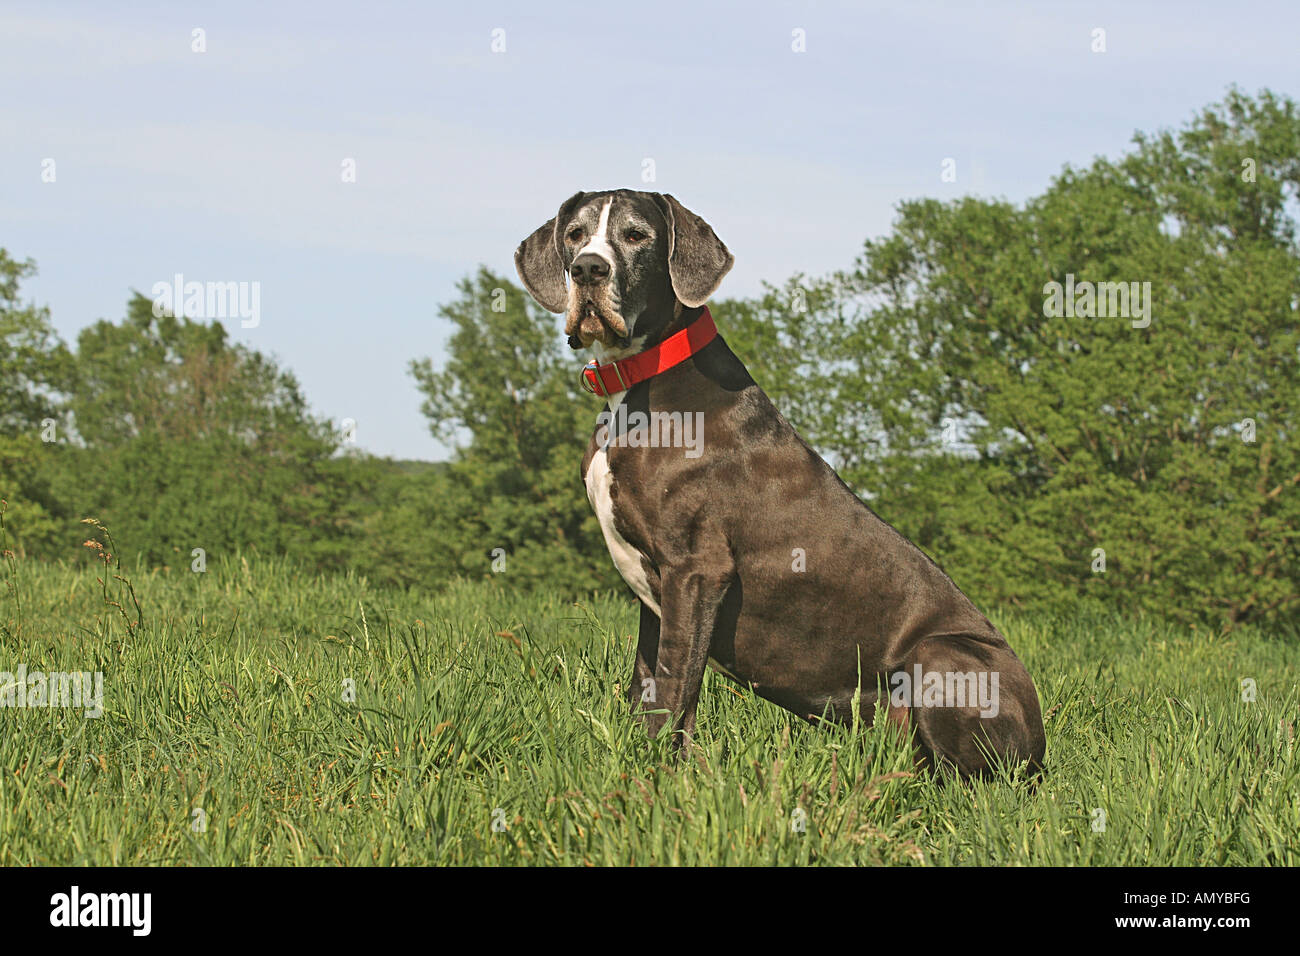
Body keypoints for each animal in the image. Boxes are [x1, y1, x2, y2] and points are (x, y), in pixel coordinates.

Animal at [514, 187, 1045, 780]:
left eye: (636, 235)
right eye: (575, 234)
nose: (588, 268)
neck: (636, 384)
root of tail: (1041, 747)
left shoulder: (696, 568)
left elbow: (674, 692)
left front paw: (659, 779)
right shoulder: (657, 591)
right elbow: (647, 687)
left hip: (941, 655)